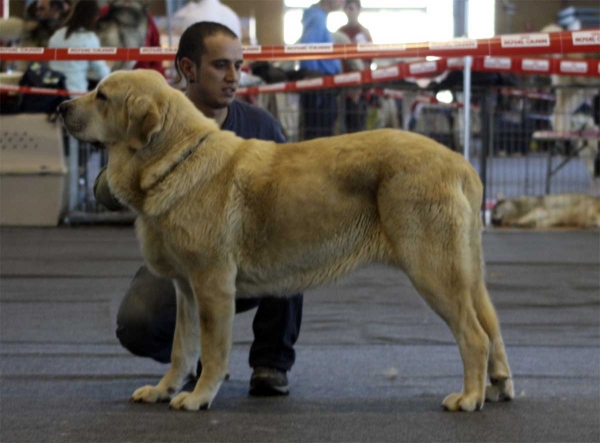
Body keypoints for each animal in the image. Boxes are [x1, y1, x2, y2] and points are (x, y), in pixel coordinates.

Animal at [58, 69, 512, 412]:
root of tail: (460, 164)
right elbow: (181, 349)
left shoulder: (212, 285)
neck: (175, 159)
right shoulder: (185, 289)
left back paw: (469, 397)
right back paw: (498, 386)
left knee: (474, 335)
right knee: (492, 326)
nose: (61, 107)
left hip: (432, 270)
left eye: (102, 95)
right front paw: (164, 390)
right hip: (465, 272)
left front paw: (199, 396)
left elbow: (213, 347)